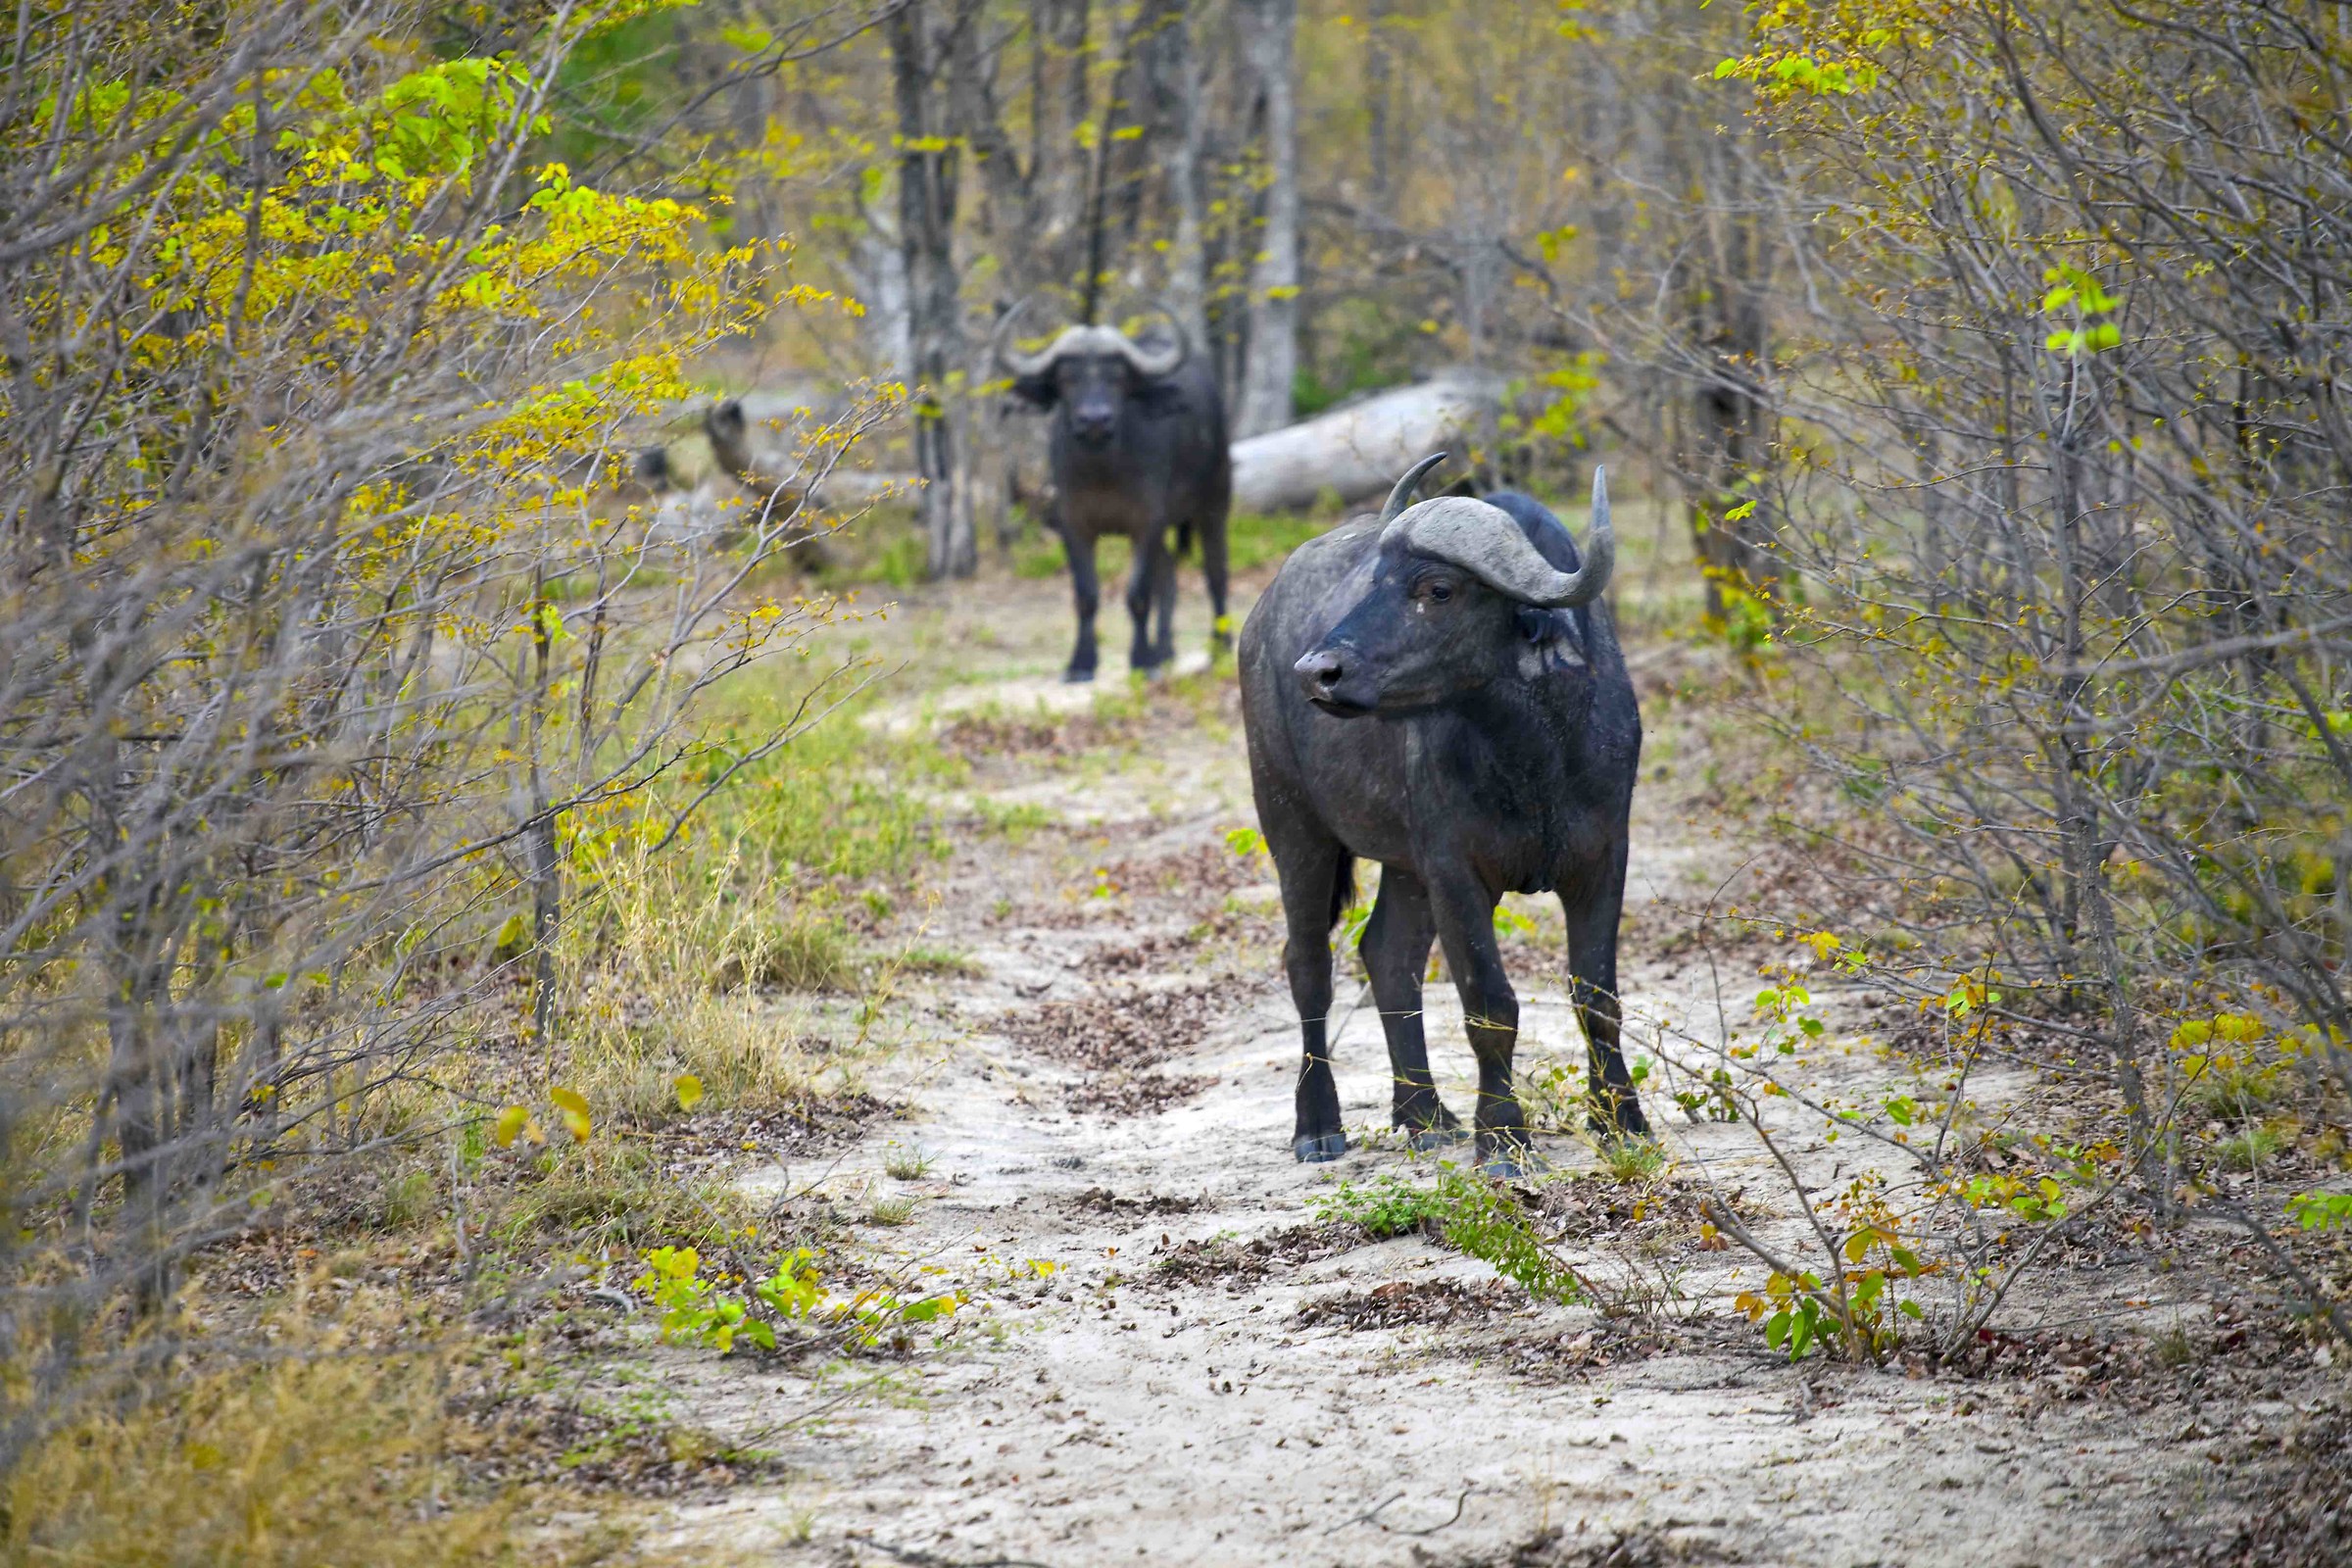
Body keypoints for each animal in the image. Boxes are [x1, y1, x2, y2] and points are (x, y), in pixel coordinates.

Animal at [999, 309, 1232, 682]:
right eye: (1067, 378)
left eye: (1118, 378)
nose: (1095, 420)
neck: (1103, 473)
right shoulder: (1072, 524)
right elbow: (1086, 595)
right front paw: (1081, 663)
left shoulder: (1146, 522)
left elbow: (1138, 594)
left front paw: (1142, 660)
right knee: (1169, 575)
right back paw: (1165, 650)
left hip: (1215, 502)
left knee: (1215, 573)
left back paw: (1220, 646)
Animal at [1238, 454, 1646, 1174]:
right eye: (1374, 579)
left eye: (1438, 588)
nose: (1317, 671)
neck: (1534, 754)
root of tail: (1258, 625)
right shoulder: (1457, 870)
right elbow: (1490, 1005)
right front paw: (1504, 1139)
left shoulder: (1603, 856)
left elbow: (1597, 997)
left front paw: (1621, 1118)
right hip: (1292, 824)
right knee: (1309, 964)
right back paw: (1318, 1124)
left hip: (1405, 864)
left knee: (1388, 954)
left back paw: (1423, 1113)